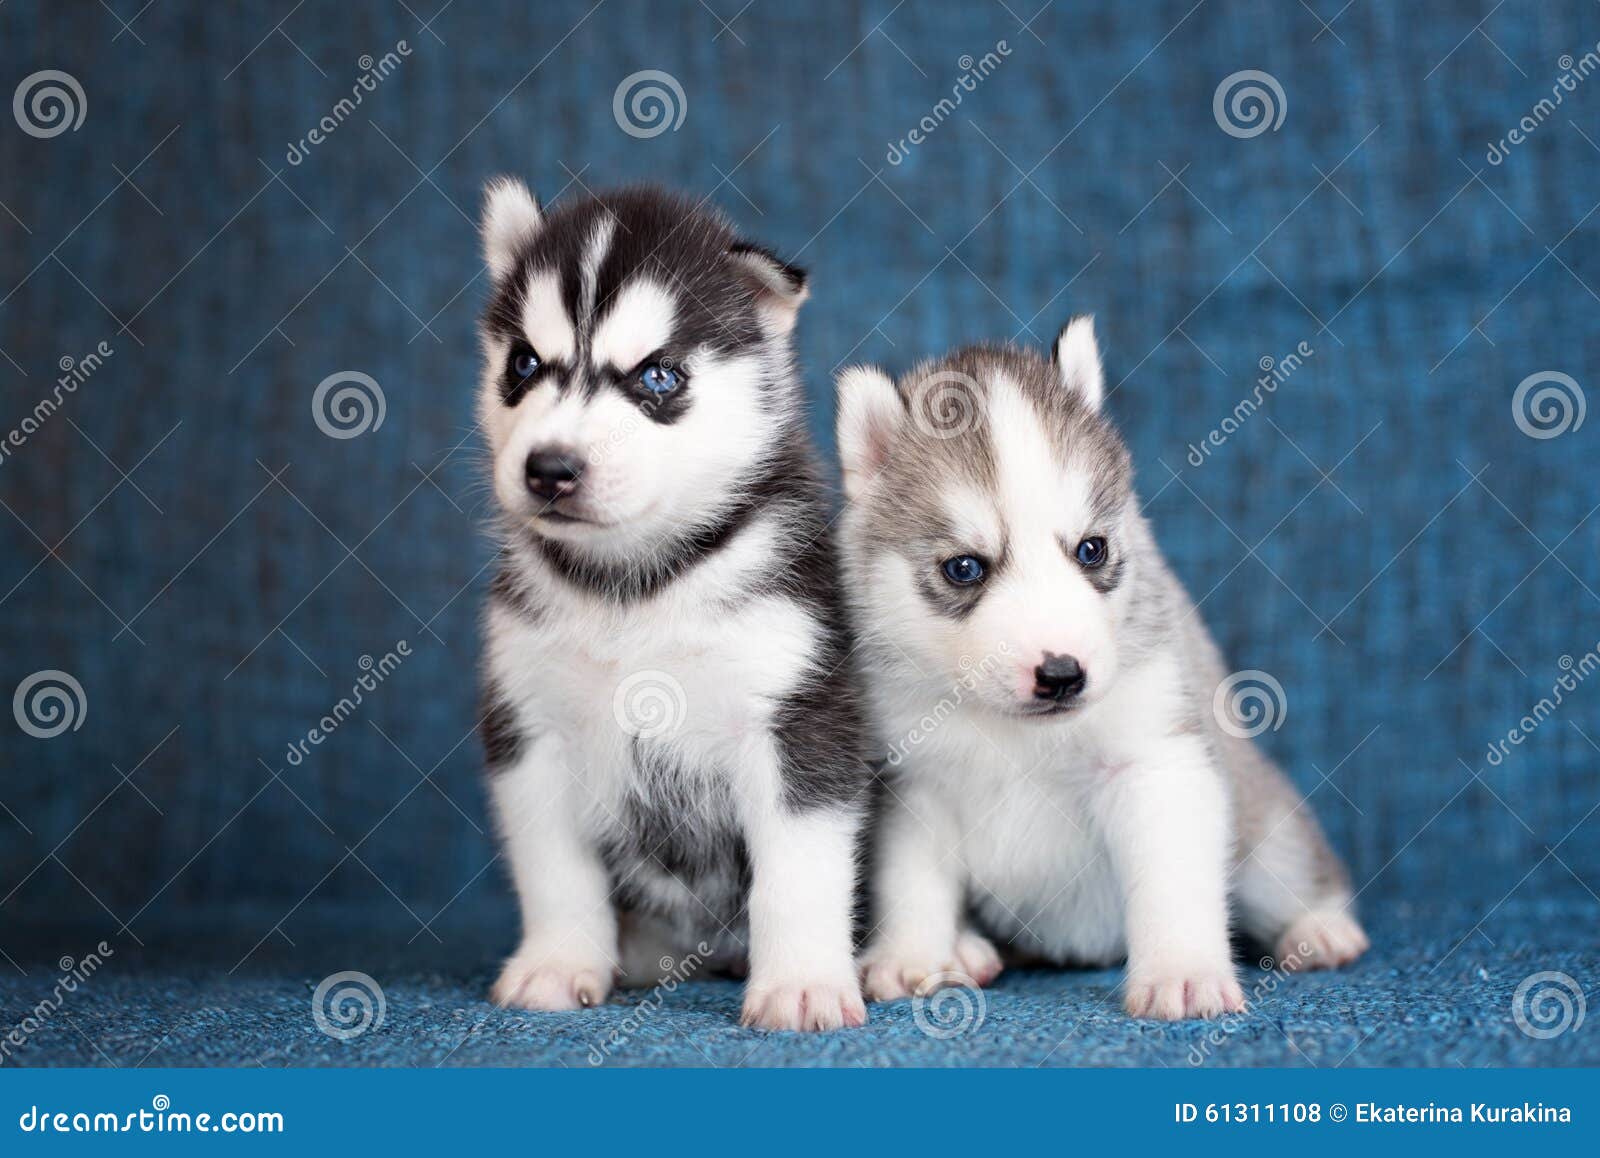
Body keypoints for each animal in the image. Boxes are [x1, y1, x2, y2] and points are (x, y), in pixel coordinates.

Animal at [476, 180, 876, 1030]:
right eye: (523, 364)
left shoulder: (799, 718)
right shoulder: (529, 727)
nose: (549, 468)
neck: (634, 592)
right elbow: (554, 869)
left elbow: (797, 870)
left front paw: (800, 983)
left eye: (658, 378)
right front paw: (559, 963)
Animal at [832, 318, 1369, 1023]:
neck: (1015, 733)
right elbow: (912, 883)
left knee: (1291, 873)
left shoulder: (1157, 762)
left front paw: (1183, 972)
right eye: (964, 567)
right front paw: (910, 956)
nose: (1063, 674)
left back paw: (1320, 927)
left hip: (1265, 832)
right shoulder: (914, 786)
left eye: (1092, 550)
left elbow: (1173, 880)